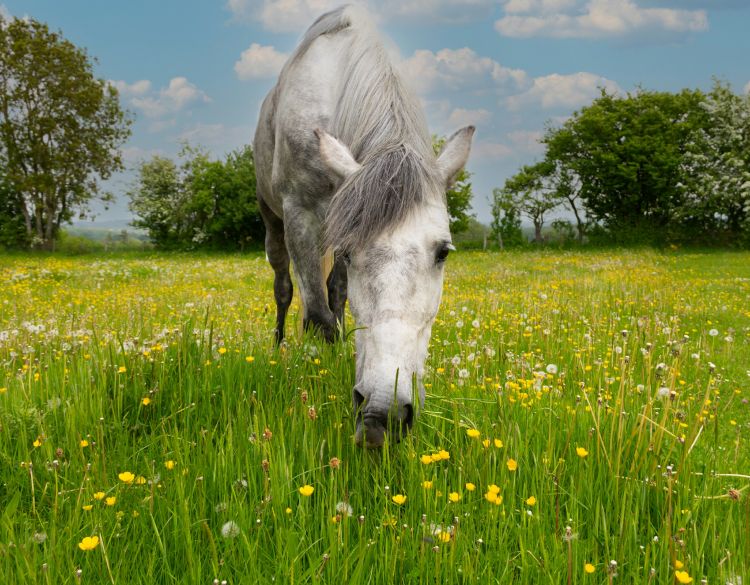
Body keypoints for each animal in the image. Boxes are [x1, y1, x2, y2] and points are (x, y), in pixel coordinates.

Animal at [254, 5, 474, 448]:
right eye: (352, 253)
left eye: (443, 252)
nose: (383, 414)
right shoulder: (301, 216)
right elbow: (318, 318)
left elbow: (337, 304)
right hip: (273, 221)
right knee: (285, 289)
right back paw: (279, 346)